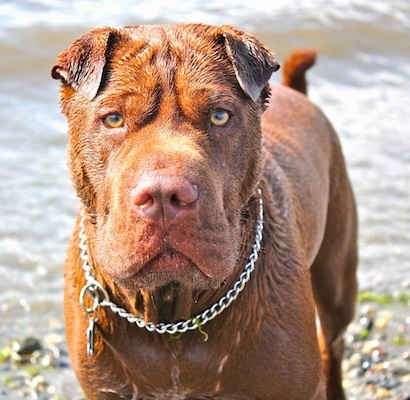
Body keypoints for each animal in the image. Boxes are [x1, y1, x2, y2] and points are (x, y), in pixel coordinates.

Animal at [51, 23, 358, 398]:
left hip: (337, 282)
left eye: (219, 116)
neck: (171, 316)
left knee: (334, 344)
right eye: (113, 119)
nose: (165, 194)